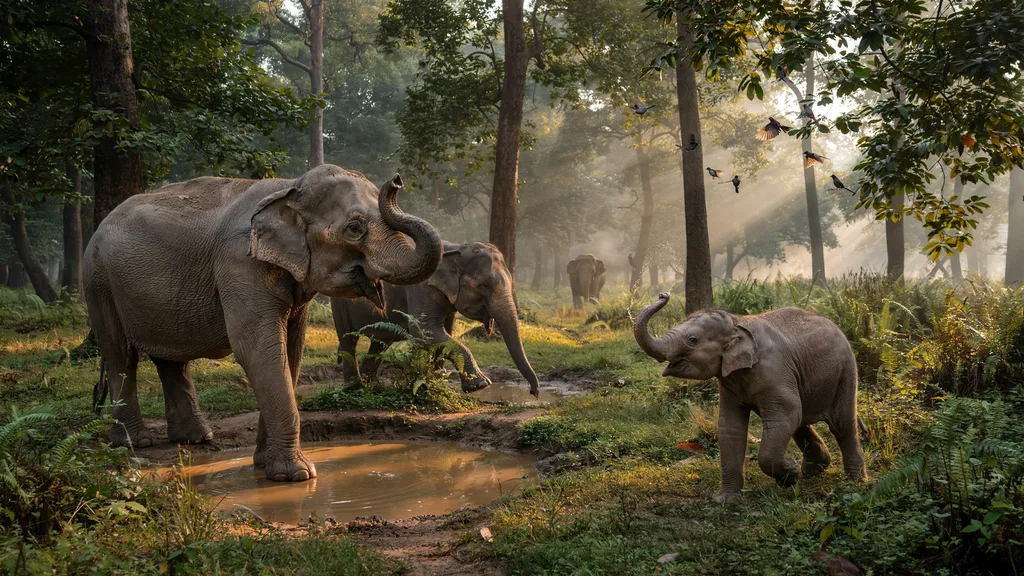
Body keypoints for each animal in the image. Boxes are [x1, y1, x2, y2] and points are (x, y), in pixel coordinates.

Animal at [83, 165, 442, 482]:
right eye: (354, 228)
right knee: (119, 355)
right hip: (98, 283)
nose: (396, 180)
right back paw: (134, 442)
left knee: (170, 360)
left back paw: (195, 438)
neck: (289, 187)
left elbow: (291, 351)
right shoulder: (239, 264)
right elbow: (258, 350)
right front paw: (296, 475)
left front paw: (265, 464)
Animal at [331, 241, 540, 396]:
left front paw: (436, 385)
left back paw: (370, 386)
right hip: (339, 302)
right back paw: (354, 388)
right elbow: (424, 331)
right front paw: (480, 385)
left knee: (379, 345)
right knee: (349, 340)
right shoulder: (421, 287)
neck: (457, 247)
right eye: (485, 285)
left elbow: (444, 332)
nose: (534, 392)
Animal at [633, 293, 867, 503]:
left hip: (846, 371)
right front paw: (725, 500)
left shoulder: (774, 371)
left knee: (841, 424)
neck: (737, 321)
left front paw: (790, 474)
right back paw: (814, 471)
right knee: (801, 421)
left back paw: (854, 483)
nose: (664, 294)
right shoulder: (730, 382)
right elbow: (730, 427)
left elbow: (785, 414)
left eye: (692, 340)